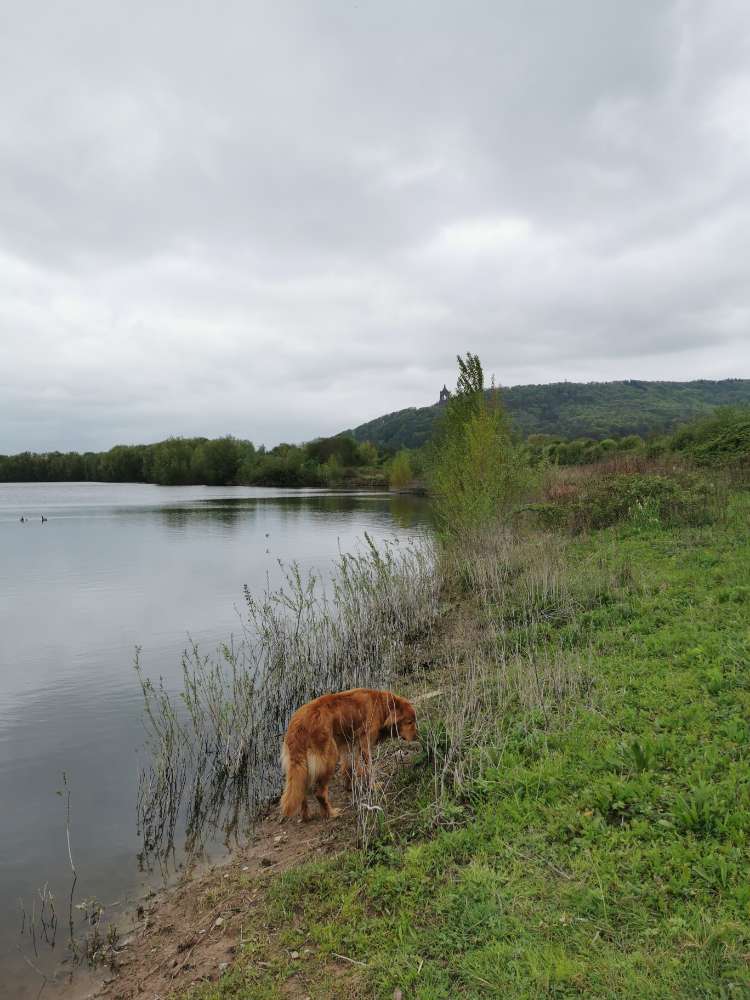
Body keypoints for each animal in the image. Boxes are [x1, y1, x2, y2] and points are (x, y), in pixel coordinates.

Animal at [280, 688, 420, 820]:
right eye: (409, 722)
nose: (417, 737)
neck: (381, 705)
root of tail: (298, 726)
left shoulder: (349, 746)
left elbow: (348, 768)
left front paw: (348, 787)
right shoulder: (364, 745)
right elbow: (369, 769)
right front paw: (373, 786)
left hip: (303, 766)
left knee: (301, 791)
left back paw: (306, 816)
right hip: (329, 758)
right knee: (319, 793)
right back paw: (330, 813)